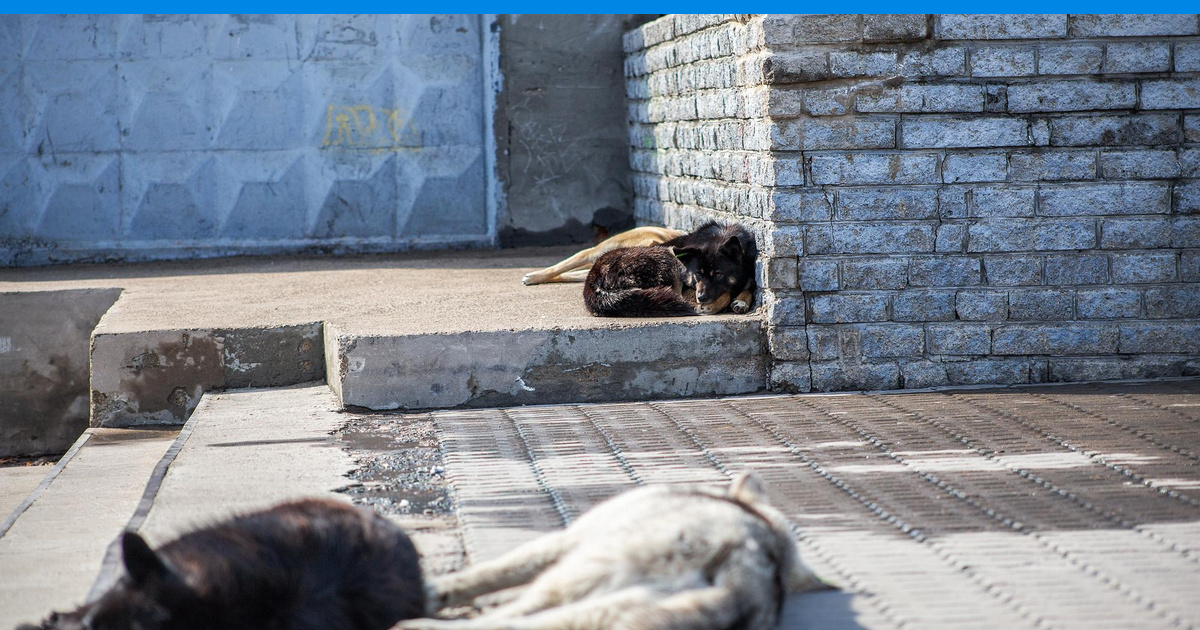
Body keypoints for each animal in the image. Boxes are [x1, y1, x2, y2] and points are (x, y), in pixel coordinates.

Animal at [578, 222, 753, 319]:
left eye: (718, 274)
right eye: (697, 274)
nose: (701, 297)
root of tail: (593, 281)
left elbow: (749, 288)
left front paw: (742, 301)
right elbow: (726, 294)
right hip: (667, 257)